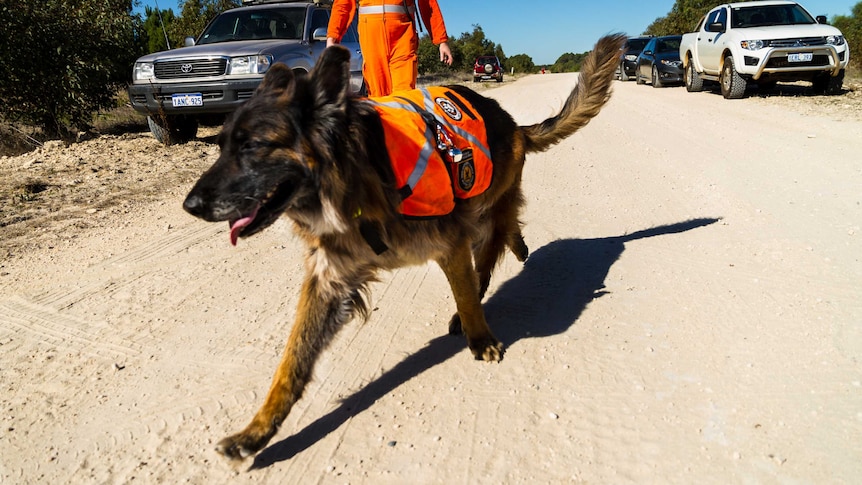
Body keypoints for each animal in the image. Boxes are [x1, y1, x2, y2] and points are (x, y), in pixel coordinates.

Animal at [184, 34, 628, 458]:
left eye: (253, 146)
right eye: (222, 146)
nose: (190, 206)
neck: (353, 177)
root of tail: (514, 125)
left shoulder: (450, 243)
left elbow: (467, 295)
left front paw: (479, 338)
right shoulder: (329, 283)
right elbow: (291, 363)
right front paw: (256, 432)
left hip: (486, 207)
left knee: (490, 252)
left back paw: (504, 264)